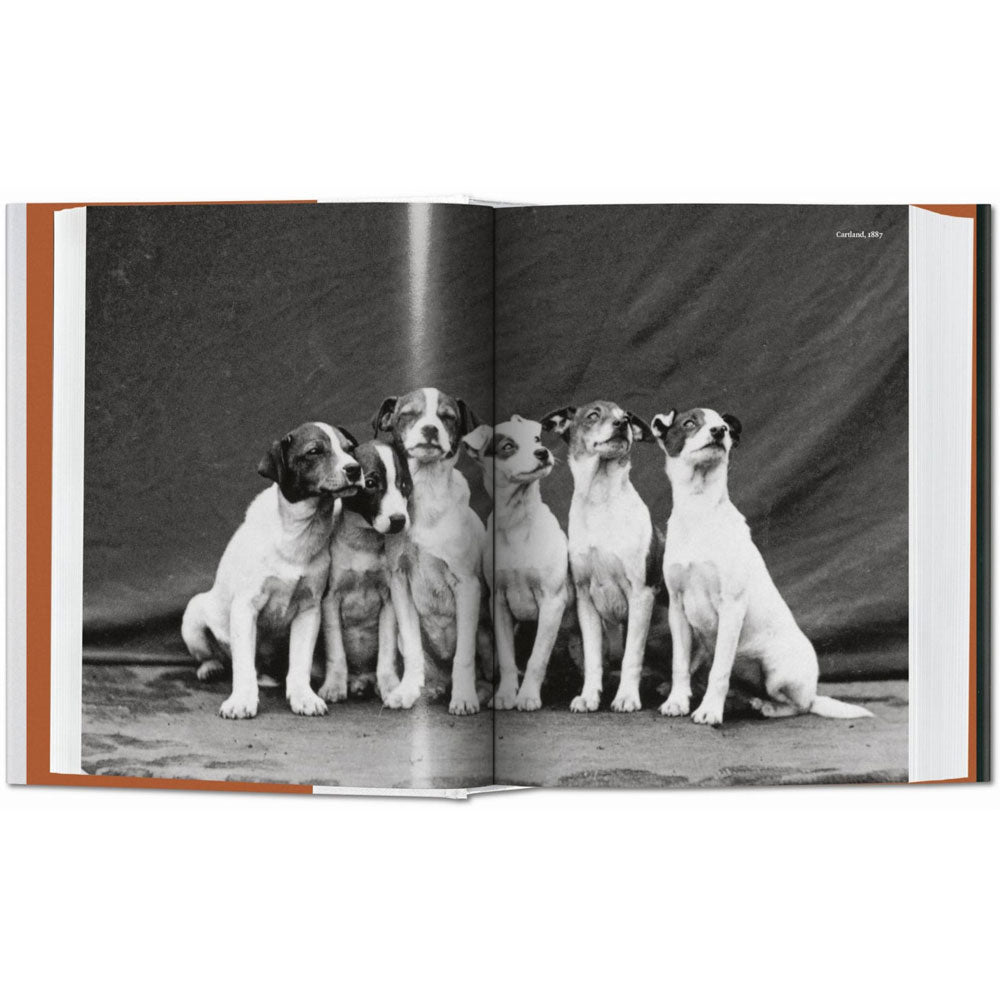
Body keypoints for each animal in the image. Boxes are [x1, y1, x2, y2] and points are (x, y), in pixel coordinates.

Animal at [183, 422, 364, 720]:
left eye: (350, 449)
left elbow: (300, 663)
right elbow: (243, 666)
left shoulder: (309, 609)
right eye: (314, 451)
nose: (355, 469)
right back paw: (211, 668)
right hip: (193, 616)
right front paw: (241, 700)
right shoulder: (245, 607)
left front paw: (303, 697)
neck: (298, 531)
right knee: (221, 658)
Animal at [320, 438, 414, 704]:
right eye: (370, 483)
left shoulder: (389, 600)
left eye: (404, 484)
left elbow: (387, 651)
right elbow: (336, 650)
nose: (399, 520)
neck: (363, 542)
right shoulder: (330, 601)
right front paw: (334, 685)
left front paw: (390, 687)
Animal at [372, 386, 488, 716]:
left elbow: (464, 656)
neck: (425, 491)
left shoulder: (468, 586)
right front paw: (407, 691)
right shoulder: (400, 584)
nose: (430, 429)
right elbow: (413, 650)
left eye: (447, 418)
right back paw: (433, 688)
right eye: (409, 414)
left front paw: (464, 698)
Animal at [544, 398, 660, 712]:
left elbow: (633, 654)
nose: (621, 425)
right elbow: (594, 657)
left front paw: (627, 697)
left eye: (625, 418)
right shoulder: (585, 598)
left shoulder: (641, 594)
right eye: (593, 416)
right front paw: (589, 696)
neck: (601, 499)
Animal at [648, 406, 876, 728]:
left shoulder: (731, 607)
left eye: (723, 426)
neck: (700, 512)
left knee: (800, 705)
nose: (719, 431)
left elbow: (720, 671)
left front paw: (709, 710)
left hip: (778, 673)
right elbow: (679, 664)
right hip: (706, 648)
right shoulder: (678, 610)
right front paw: (677, 700)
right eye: (689, 423)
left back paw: (765, 707)